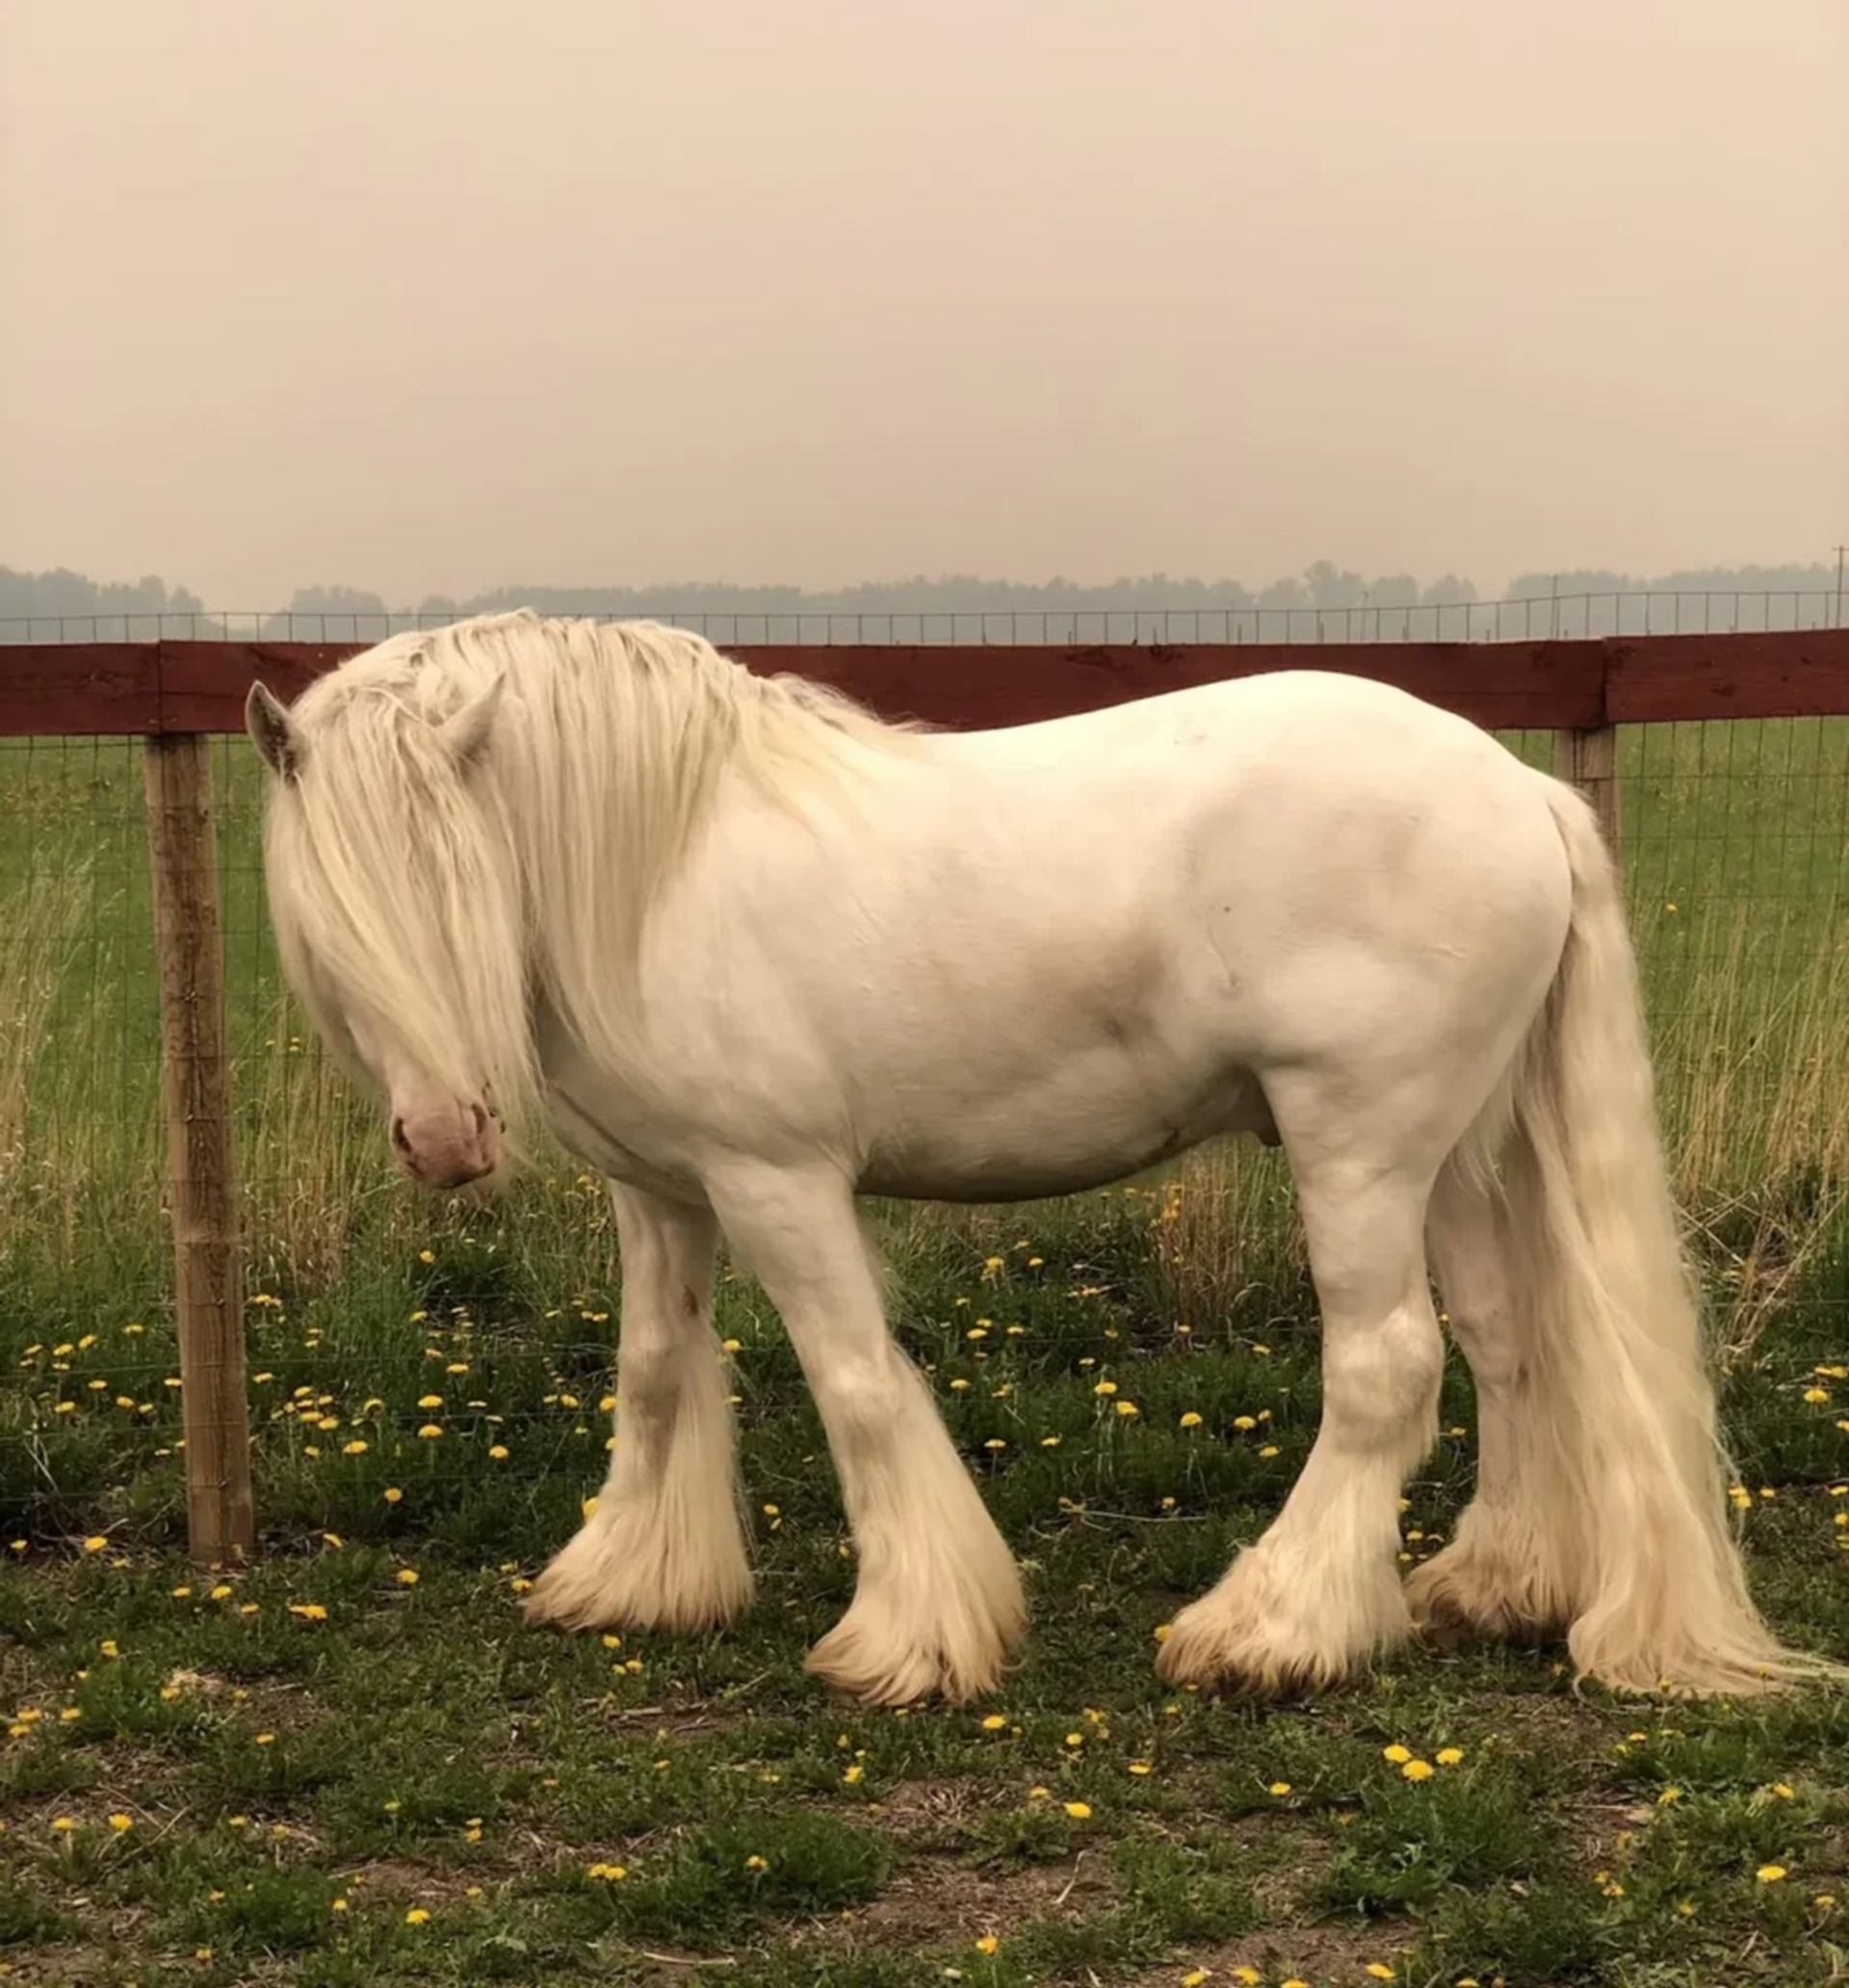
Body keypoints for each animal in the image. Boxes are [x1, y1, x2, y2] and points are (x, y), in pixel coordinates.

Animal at [245, 608, 1833, 1707]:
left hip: (1360, 1145)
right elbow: (652, 1373)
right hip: (1448, 1153)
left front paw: (911, 1640)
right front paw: (634, 1581)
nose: (444, 1140)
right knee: (1505, 1342)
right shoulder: (663, 1192)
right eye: (330, 906)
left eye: (453, 874)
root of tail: (1519, 794)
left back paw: (1269, 1630)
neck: (662, 865)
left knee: (1386, 1368)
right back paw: (1492, 1585)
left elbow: (857, 1388)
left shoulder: (779, 1183)